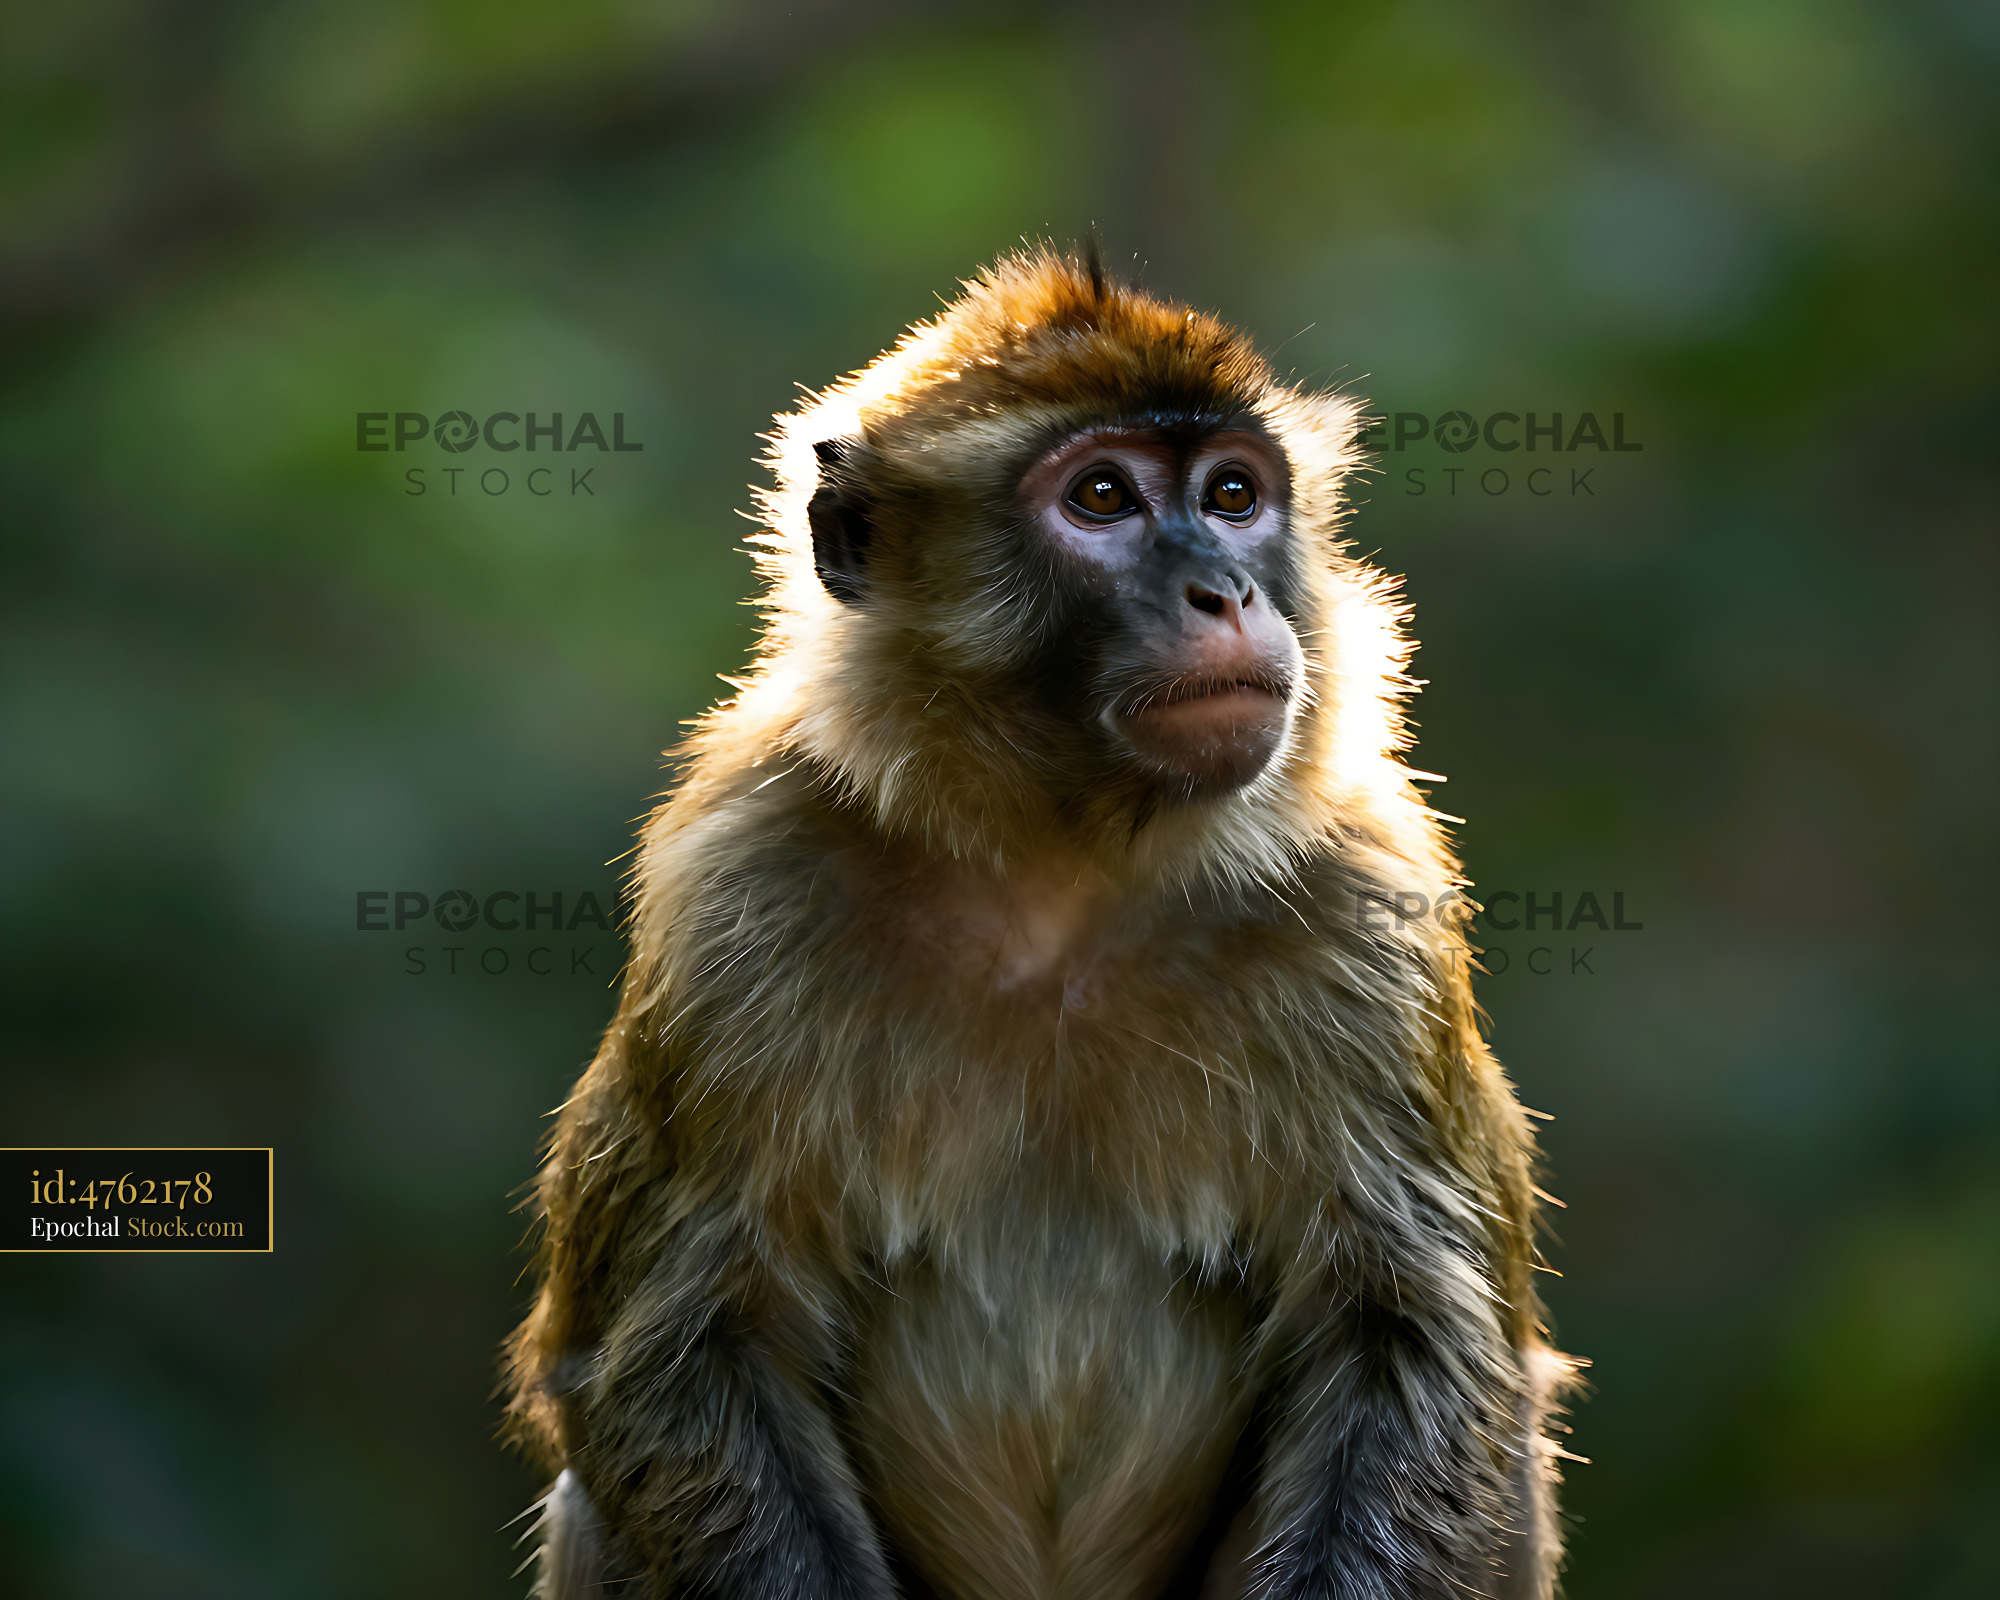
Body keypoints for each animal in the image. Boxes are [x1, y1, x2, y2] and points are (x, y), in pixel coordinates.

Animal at [503, 245, 1575, 1600]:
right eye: (1102, 497)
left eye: (1232, 494)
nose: (1223, 589)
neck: (1060, 878)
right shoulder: (738, 887)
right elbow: (674, 1347)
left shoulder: (1368, 905)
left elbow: (1411, 1338)